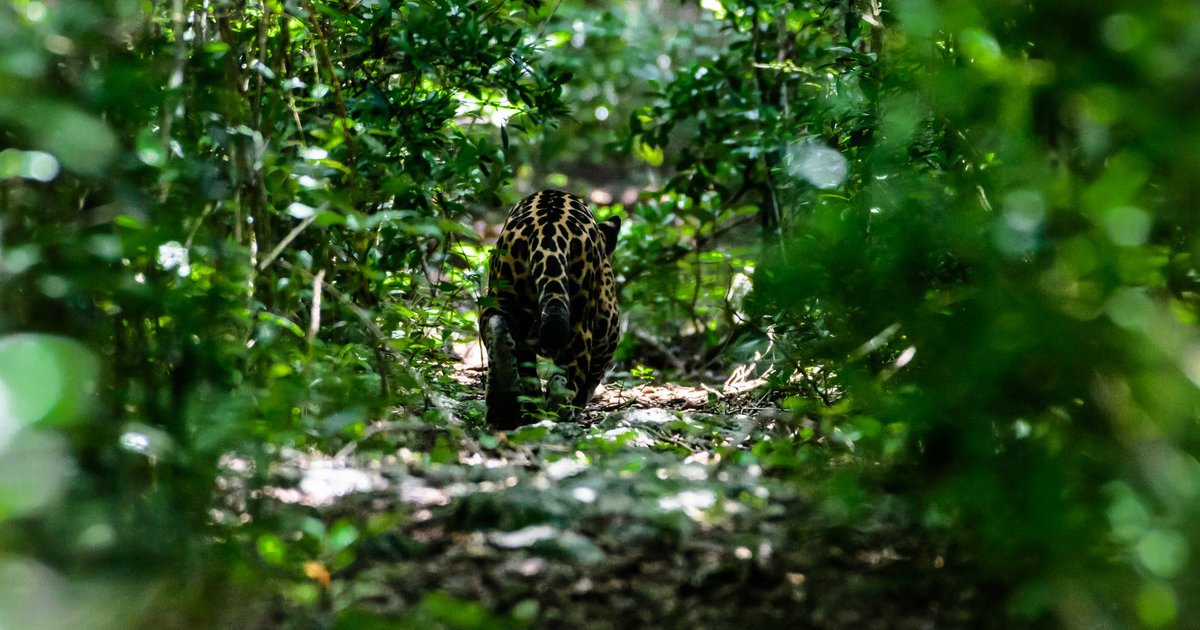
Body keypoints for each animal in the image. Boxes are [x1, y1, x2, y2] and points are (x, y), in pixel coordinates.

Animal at [480, 190, 621, 428]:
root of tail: (548, 229)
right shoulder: (609, 329)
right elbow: (591, 379)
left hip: (500, 297)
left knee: (499, 331)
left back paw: (506, 407)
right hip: (580, 323)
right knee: (565, 378)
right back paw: (559, 413)